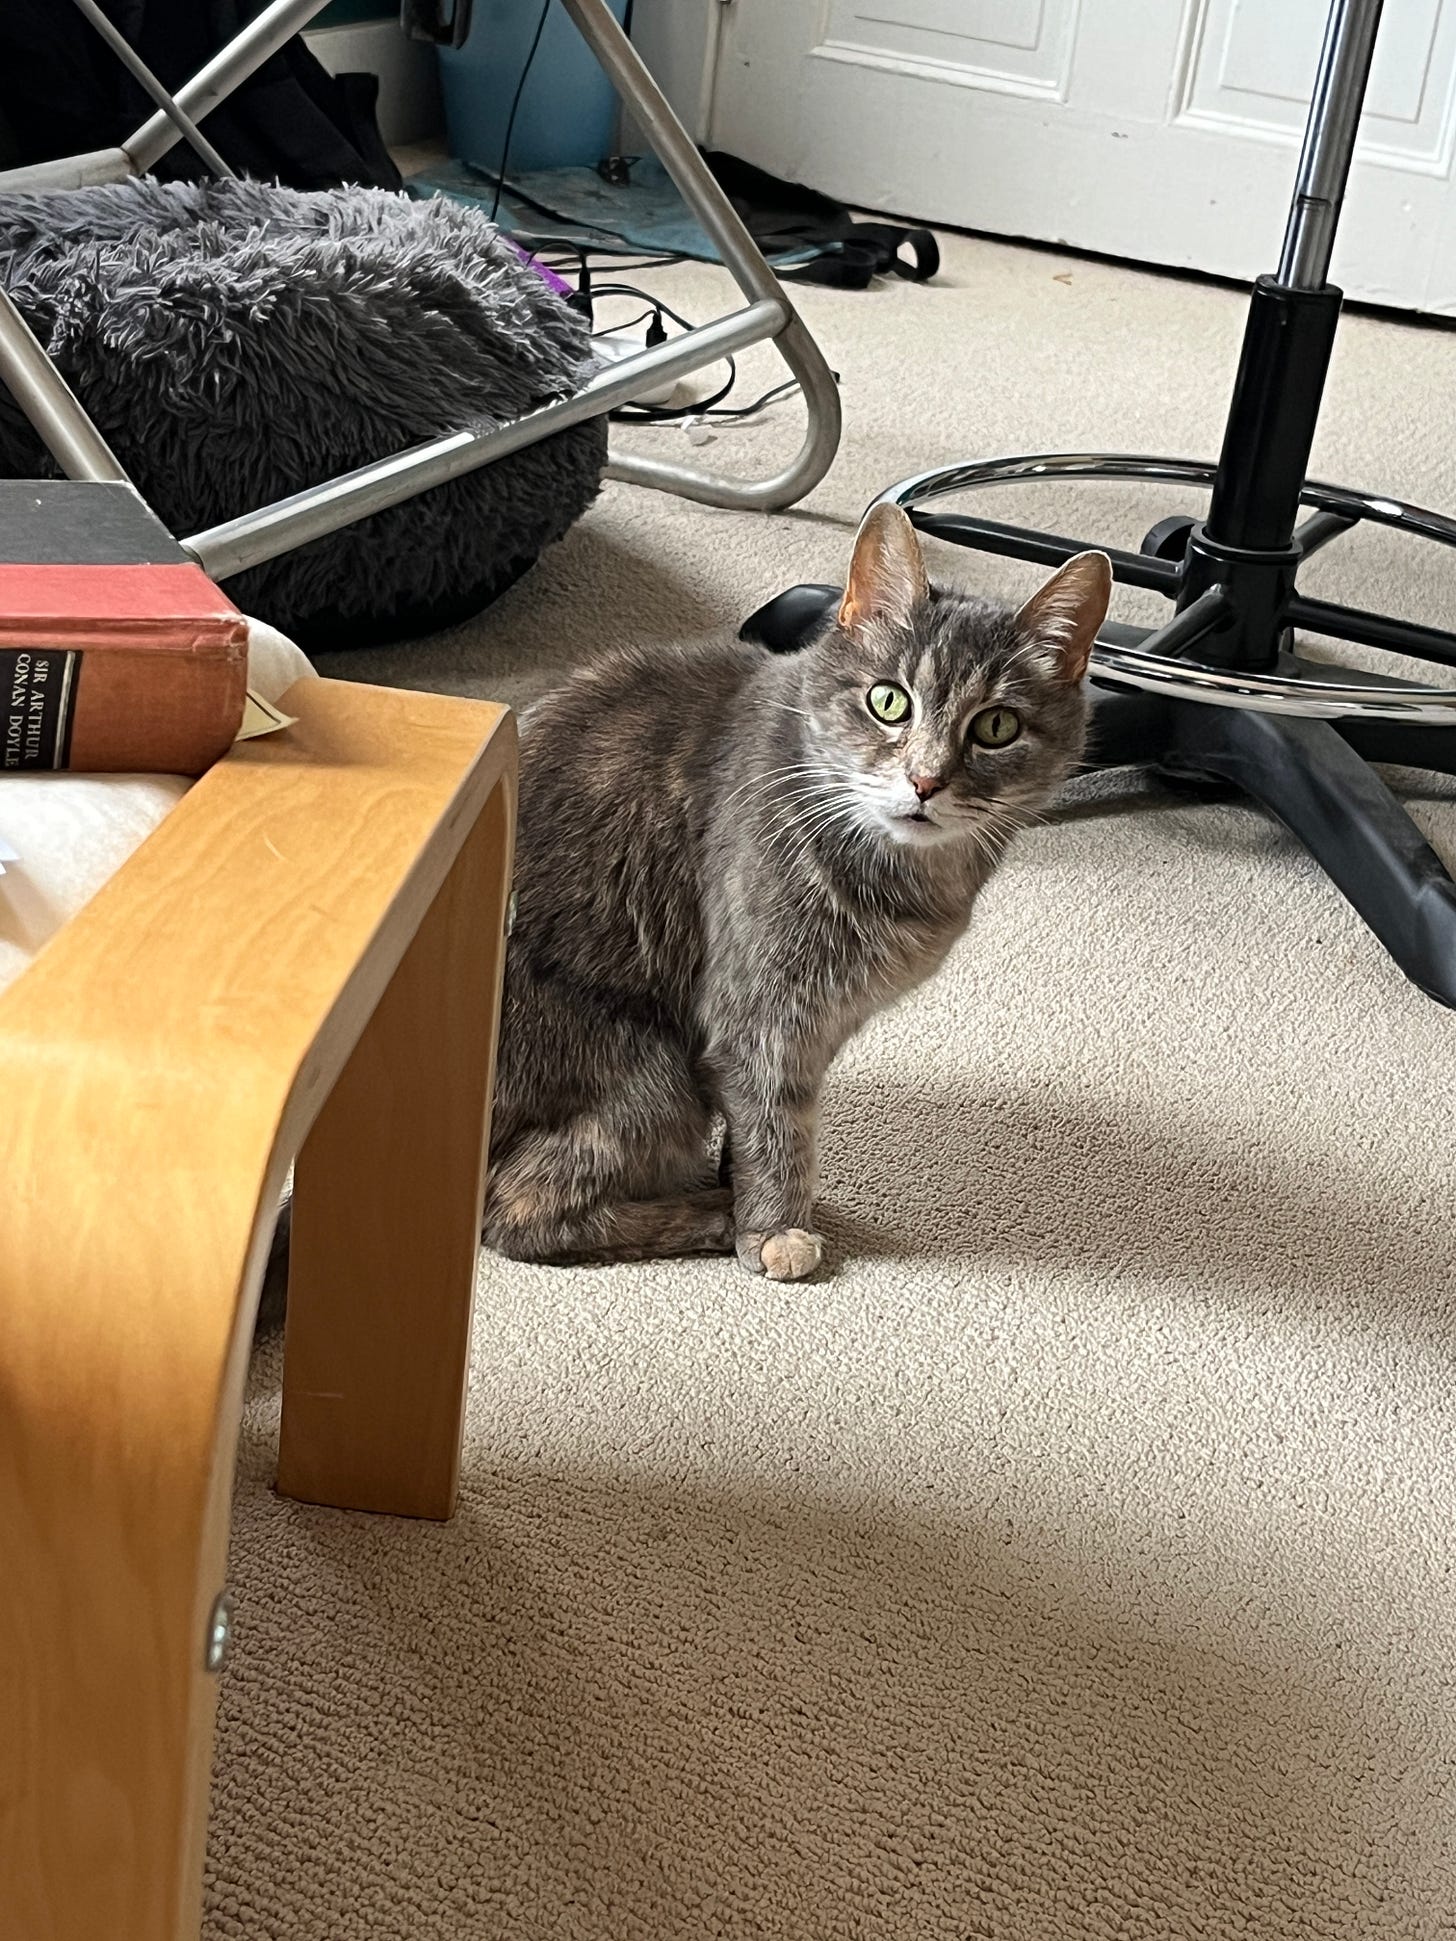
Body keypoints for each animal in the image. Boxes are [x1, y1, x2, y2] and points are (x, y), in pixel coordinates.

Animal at [485, 508, 1110, 1281]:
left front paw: (753, 1190)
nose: (926, 780)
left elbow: (767, 1126)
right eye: (888, 701)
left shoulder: (819, 1023)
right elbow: (776, 1126)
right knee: (521, 1215)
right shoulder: (760, 1015)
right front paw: (773, 1227)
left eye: (997, 726)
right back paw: (708, 1214)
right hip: (651, 1082)